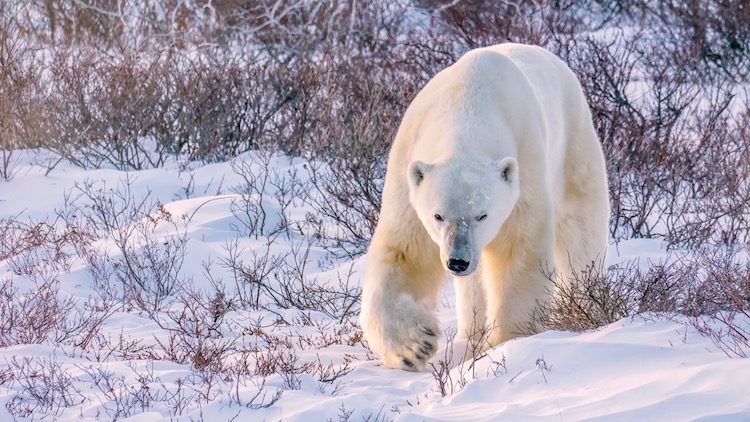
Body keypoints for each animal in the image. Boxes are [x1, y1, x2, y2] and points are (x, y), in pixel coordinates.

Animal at [359, 43, 610, 371]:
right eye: (437, 215)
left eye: (483, 215)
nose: (457, 261)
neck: (467, 108)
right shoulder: (408, 171)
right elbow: (405, 253)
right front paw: (415, 345)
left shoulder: (525, 167)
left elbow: (520, 250)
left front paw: (508, 341)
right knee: (472, 288)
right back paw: (468, 336)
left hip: (573, 145)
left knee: (581, 233)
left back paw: (584, 305)